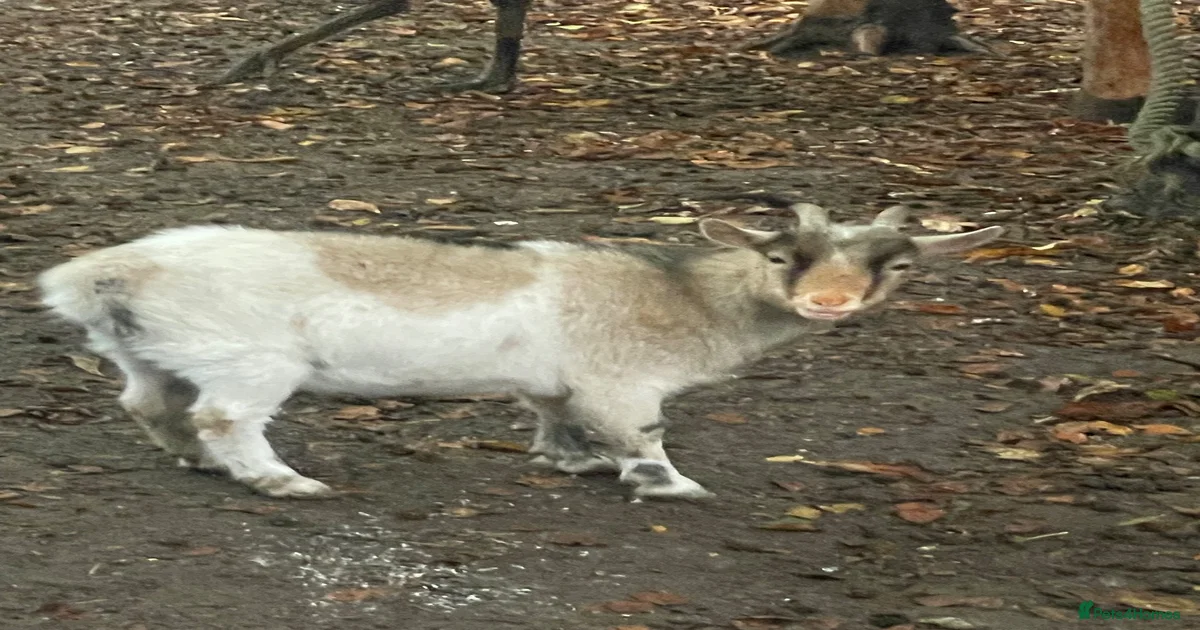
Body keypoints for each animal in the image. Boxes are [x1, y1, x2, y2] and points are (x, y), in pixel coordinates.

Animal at [38, 202, 1002, 500]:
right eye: (779, 257)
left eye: (898, 265)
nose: (828, 301)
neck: (679, 296)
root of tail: (100, 276)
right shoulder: (621, 380)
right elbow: (643, 433)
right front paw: (669, 484)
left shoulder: (560, 380)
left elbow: (552, 416)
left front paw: (569, 462)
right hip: (250, 361)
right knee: (225, 416)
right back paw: (279, 480)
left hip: (151, 353)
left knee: (148, 404)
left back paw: (196, 462)